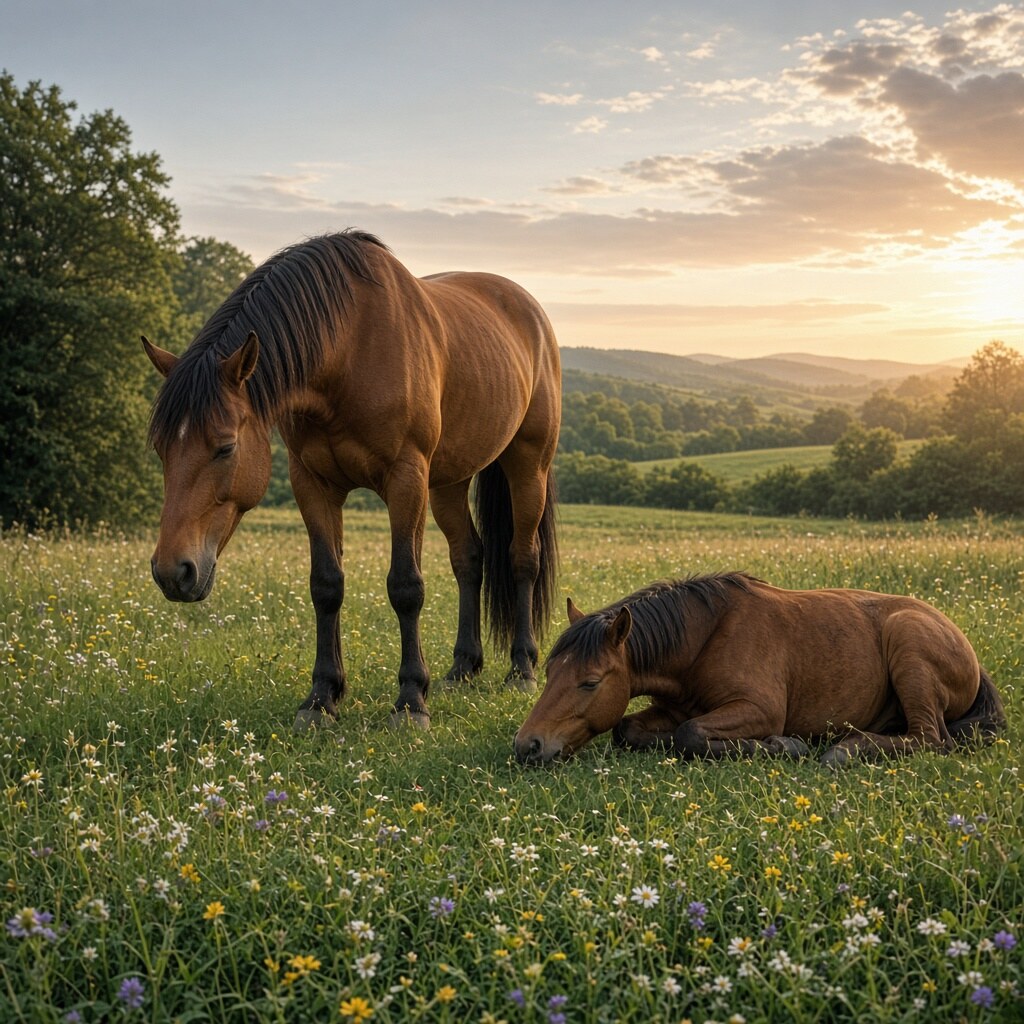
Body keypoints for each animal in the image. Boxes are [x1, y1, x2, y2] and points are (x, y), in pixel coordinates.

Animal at [143, 230, 560, 731]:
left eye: (225, 447)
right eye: (161, 448)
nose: (173, 572)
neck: (349, 351)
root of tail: (530, 310)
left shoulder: (406, 480)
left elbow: (406, 586)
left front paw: (411, 701)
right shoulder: (313, 483)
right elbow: (326, 585)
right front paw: (322, 697)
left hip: (528, 466)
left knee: (522, 559)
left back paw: (522, 669)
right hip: (448, 483)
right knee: (469, 560)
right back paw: (462, 668)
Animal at [514, 572, 1005, 767]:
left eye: (589, 682)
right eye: (549, 674)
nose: (527, 745)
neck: (707, 637)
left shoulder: (758, 709)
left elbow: (691, 734)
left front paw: (783, 745)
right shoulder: (671, 708)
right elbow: (629, 729)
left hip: (907, 643)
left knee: (930, 738)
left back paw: (847, 749)